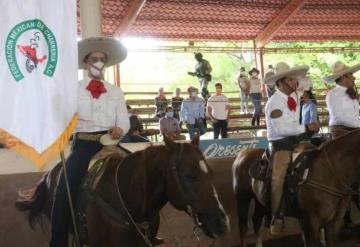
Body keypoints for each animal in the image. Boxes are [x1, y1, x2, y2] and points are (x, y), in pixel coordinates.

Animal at [232, 129, 360, 247]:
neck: (329, 173)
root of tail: (242, 154)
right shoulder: (312, 223)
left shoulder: (333, 224)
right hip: (243, 198)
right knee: (243, 226)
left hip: (259, 201)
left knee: (256, 220)